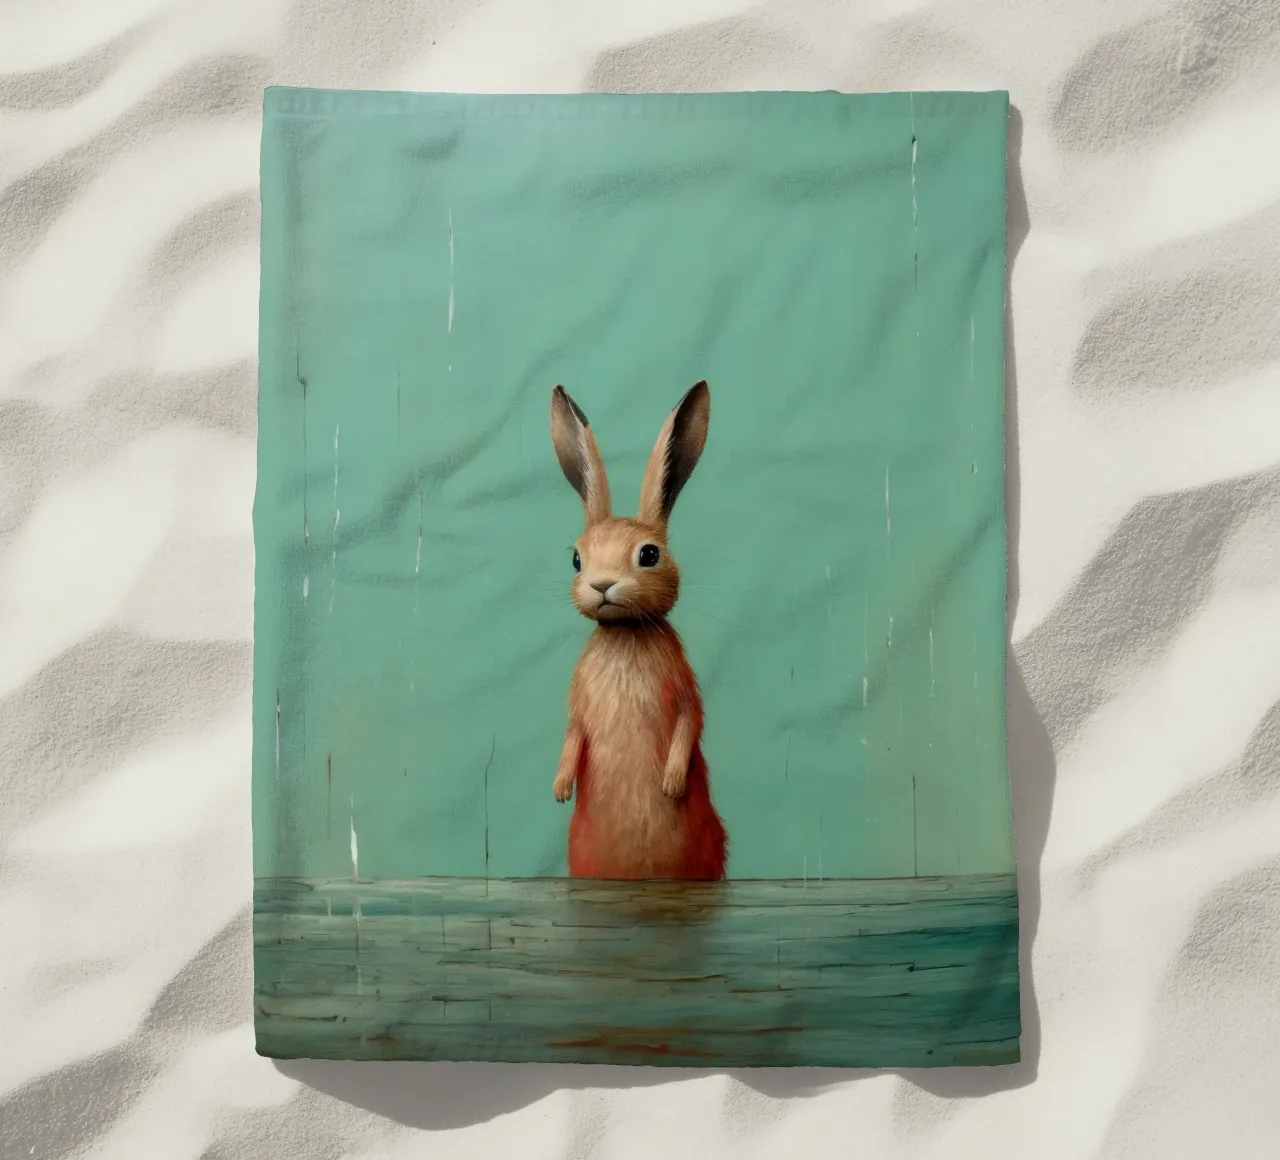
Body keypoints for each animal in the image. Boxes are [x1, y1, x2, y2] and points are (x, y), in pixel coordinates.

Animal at [548, 380, 728, 880]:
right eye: (576, 559)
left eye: (649, 555)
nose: (602, 585)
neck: (625, 632)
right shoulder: (578, 707)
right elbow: (572, 734)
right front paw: (560, 787)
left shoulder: (685, 690)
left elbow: (690, 722)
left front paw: (670, 784)